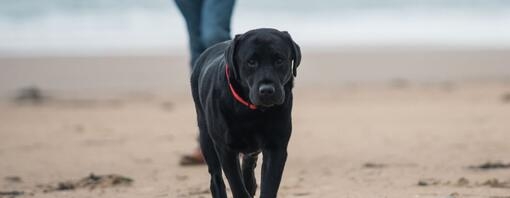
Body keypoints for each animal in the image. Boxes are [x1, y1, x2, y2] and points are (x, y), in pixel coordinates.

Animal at [191, 28, 302, 198]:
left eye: (279, 60)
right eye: (251, 62)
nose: (267, 90)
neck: (251, 113)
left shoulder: (276, 147)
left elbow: (269, 185)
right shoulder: (226, 149)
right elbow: (236, 185)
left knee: (248, 164)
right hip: (206, 138)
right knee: (216, 177)